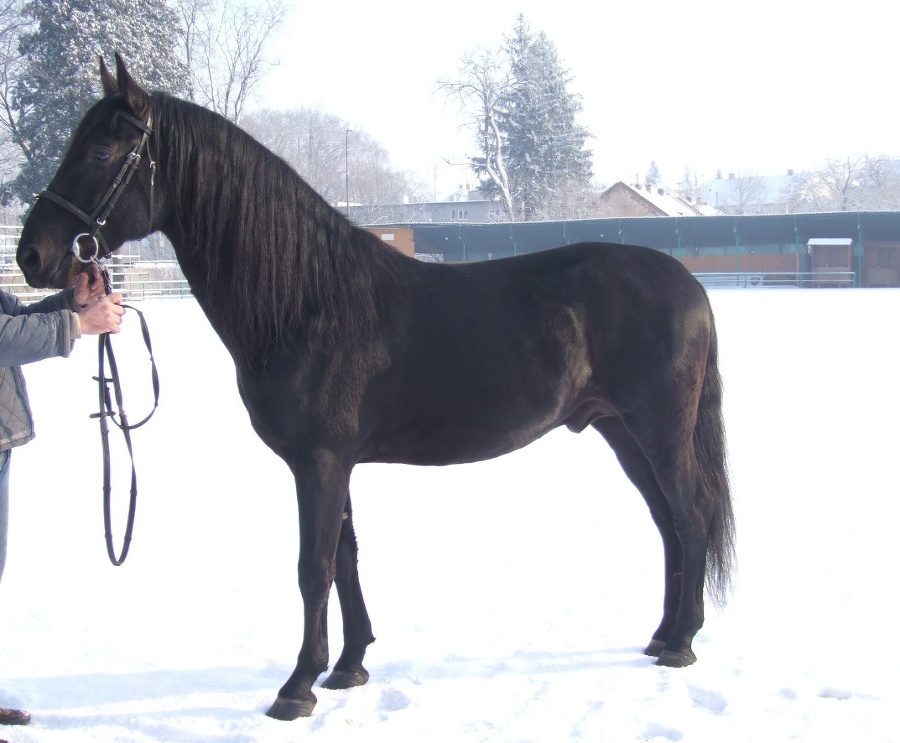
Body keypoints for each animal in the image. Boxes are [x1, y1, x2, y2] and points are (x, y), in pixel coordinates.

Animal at [14, 55, 736, 724]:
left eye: (102, 151)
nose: (32, 256)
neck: (305, 299)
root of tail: (688, 284)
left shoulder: (319, 460)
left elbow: (313, 566)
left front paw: (296, 687)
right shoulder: (332, 460)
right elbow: (346, 557)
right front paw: (349, 666)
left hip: (657, 430)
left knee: (691, 513)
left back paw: (681, 644)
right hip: (621, 430)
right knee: (668, 521)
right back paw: (663, 634)